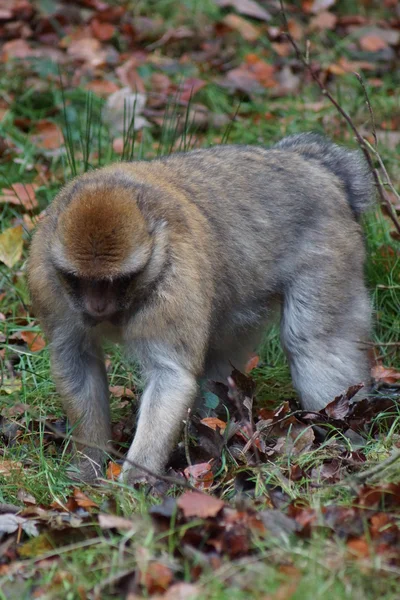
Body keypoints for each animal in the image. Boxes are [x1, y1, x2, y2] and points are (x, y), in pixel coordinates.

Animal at [28, 132, 376, 482]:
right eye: (78, 279)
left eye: (118, 281)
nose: (97, 306)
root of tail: (312, 164)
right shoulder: (49, 286)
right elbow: (76, 362)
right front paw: (88, 464)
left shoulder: (174, 291)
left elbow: (171, 377)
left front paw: (134, 481)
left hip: (329, 251)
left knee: (313, 343)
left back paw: (338, 431)